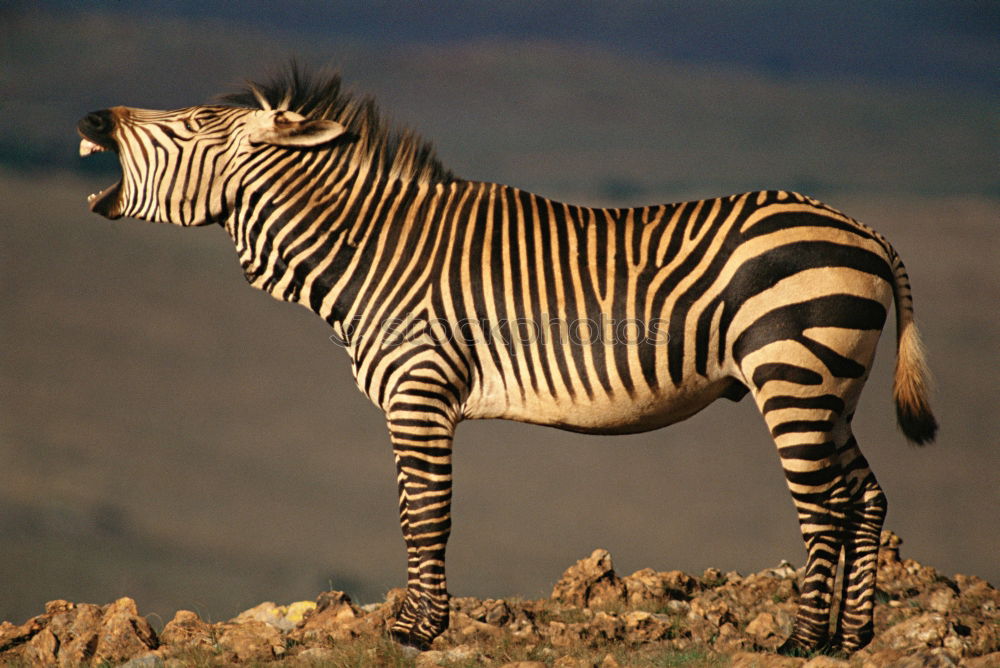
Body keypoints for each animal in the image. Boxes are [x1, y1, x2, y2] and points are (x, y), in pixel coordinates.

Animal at [78, 66, 936, 652]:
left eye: (195, 121)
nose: (90, 116)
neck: (367, 251)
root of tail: (865, 230)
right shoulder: (416, 399)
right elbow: (418, 512)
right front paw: (420, 623)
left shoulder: (419, 391)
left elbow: (425, 515)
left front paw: (419, 632)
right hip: (831, 386)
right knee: (865, 497)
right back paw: (851, 640)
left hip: (792, 375)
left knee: (823, 506)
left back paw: (802, 642)